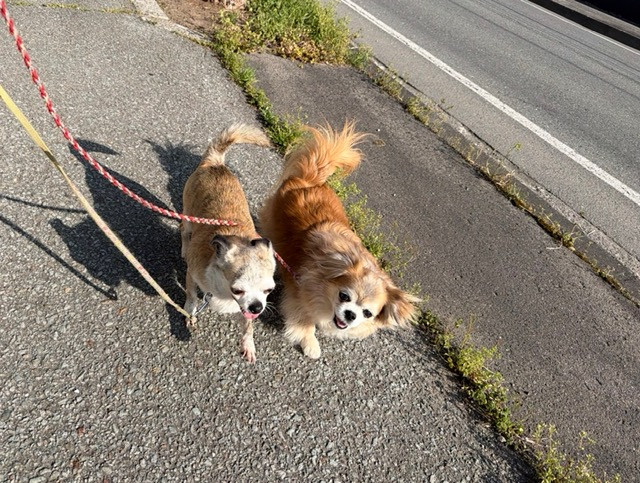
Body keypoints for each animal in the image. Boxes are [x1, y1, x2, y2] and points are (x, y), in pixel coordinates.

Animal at [181, 123, 276, 363]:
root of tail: (215, 162)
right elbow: (192, 296)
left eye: (268, 290)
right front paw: (190, 312)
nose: (257, 306)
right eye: (238, 290)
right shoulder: (192, 275)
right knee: (184, 232)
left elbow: (248, 326)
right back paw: (184, 248)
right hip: (188, 216)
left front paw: (248, 343)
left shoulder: (245, 311)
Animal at [259, 122, 419, 359]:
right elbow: (304, 320)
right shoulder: (298, 296)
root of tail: (310, 181)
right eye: (344, 296)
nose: (351, 314)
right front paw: (310, 343)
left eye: (367, 313)